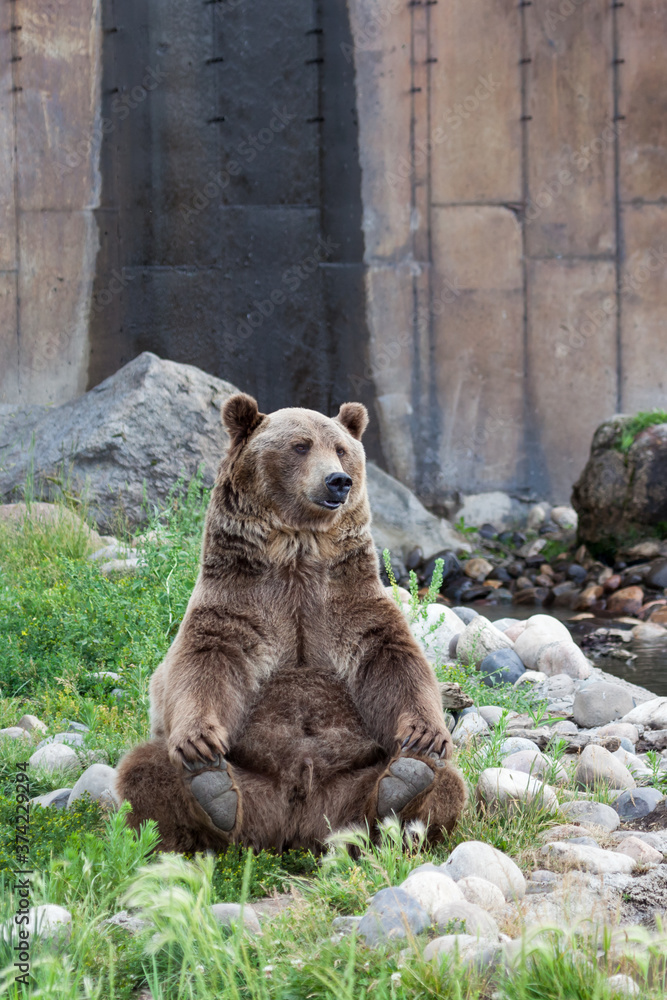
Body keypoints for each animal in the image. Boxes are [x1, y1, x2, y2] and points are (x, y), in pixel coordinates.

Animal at [116, 394, 466, 853]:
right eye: (300, 446)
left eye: (341, 449)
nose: (338, 481)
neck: (298, 554)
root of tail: (299, 826)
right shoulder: (240, 602)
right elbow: (205, 661)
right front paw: (199, 741)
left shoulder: (347, 602)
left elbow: (393, 659)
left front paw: (426, 734)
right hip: (255, 788)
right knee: (144, 768)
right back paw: (213, 794)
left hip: (347, 787)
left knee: (449, 783)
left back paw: (402, 786)